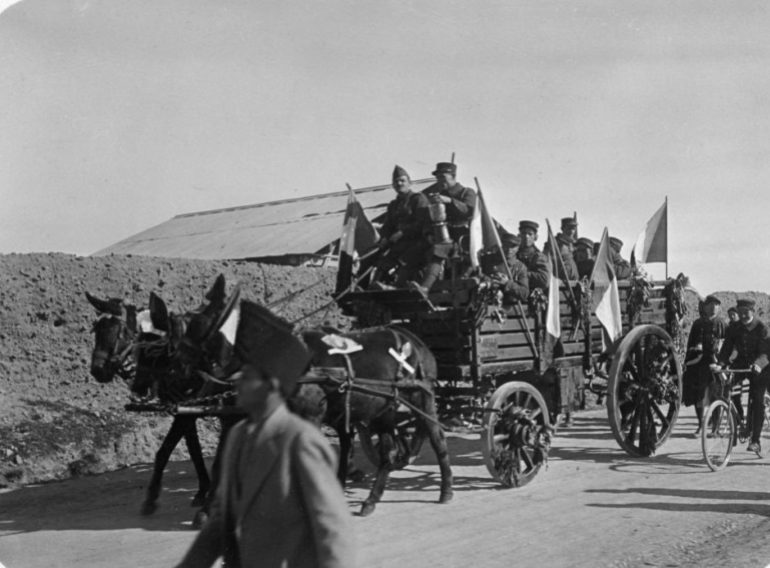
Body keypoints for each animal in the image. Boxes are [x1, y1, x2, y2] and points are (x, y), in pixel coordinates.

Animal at [85, 290, 210, 516]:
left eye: (119, 332)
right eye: (96, 330)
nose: (97, 370)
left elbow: (166, 449)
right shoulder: (185, 408)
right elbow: (192, 449)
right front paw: (203, 489)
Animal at [177, 274, 452, 516]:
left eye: (200, 324)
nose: (180, 362)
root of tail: (413, 339)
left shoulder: (310, 416)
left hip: (421, 399)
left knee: (436, 437)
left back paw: (446, 489)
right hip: (383, 410)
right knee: (387, 453)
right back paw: (371, 499)